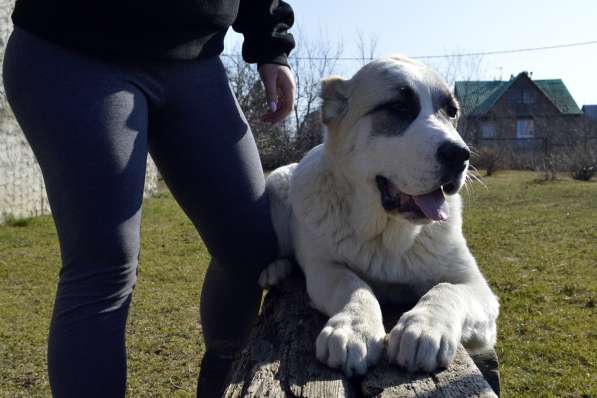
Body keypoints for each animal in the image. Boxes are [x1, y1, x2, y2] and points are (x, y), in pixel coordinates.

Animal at [260, 55, 498, 376]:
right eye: (398, 107)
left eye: (451, 112)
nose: (460, 155)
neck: (390, 234)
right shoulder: (325, 267)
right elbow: (353, 284)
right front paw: (354, 327)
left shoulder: (477, 288)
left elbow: (447, 290)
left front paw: (424, 328)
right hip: (277, 185)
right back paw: (276, 269)